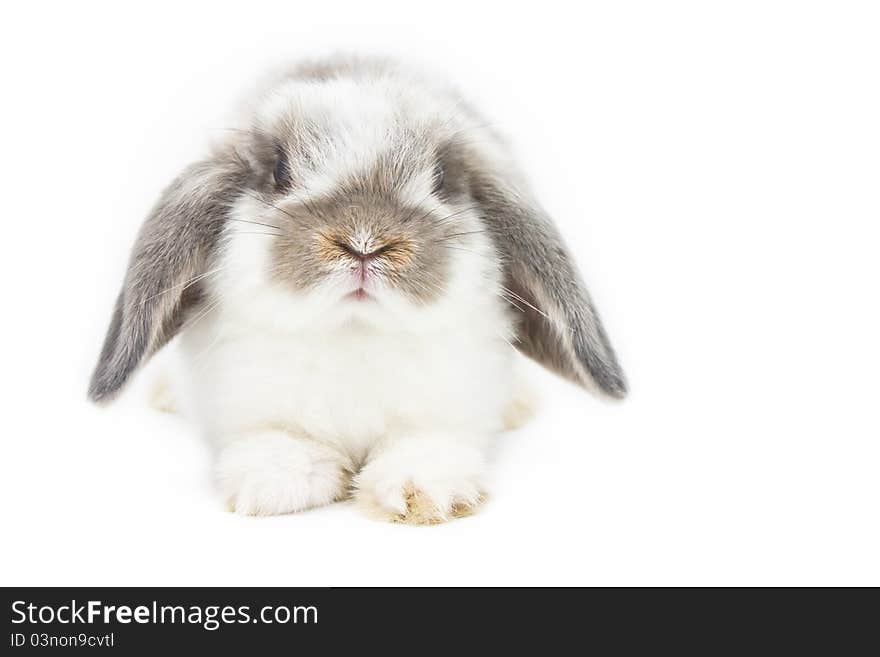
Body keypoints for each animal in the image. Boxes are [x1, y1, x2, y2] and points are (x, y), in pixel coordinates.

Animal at [87, 55, 624, 524]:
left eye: (441, 177)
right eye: (279, 170)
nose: (364, 242)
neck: (354, 332)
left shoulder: (447, 409)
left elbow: (424, 445)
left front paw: (421, 492)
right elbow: (281, 441)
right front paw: (274, 481)